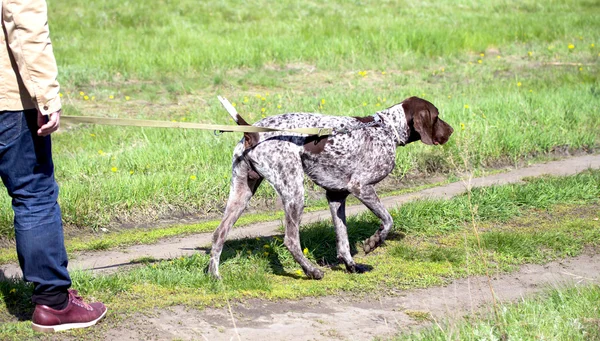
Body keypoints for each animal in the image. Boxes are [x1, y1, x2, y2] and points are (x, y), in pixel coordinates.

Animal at [209, 96, 452, 278]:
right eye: (437, 116)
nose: (450, 131)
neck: (386, 128)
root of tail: (254, 132)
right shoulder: (361, 187)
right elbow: (388, 220)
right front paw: (373, 242)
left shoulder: (336, 196)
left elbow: (342, 239)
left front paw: (351, 266)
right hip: (294, 192)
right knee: (291, 240)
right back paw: (312, 271)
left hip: (241, 194)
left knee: (219, 234)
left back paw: (215, 276)